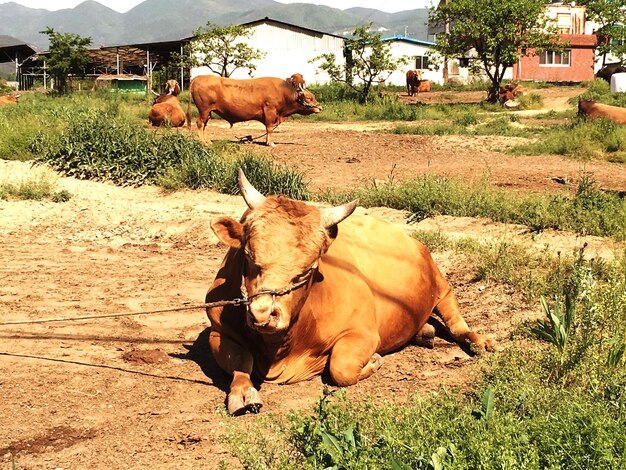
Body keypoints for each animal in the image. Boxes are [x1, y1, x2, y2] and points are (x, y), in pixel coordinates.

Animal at [186, 75, 322, 147]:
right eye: (309, 98)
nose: (320, 107)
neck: (283, 93)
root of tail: (198, 77)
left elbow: (268, 129)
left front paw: (267, 141)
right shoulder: (270, 111)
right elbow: (269, 128)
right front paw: (270, 143)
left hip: (208, 112)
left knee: (204, 125)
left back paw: (208, 141)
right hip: (204, 110)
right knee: (200, 124)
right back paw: (203, 142)